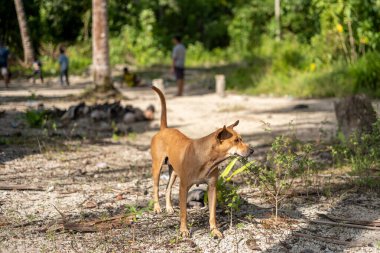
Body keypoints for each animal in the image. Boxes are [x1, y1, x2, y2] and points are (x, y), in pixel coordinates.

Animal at [150, 86, 254, 237]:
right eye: (236, 140)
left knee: (168, 188)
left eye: (241, 139)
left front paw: (214, 230)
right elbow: (184, 213)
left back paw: (168, 207)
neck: (207, 158)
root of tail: (164, 129)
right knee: (156, 187)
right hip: (157, 167)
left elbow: (212, 213)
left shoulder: (212, 188)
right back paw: (157, 207)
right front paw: (184, 230)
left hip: (174, 172)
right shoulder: (183, 188)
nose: (252, 150)